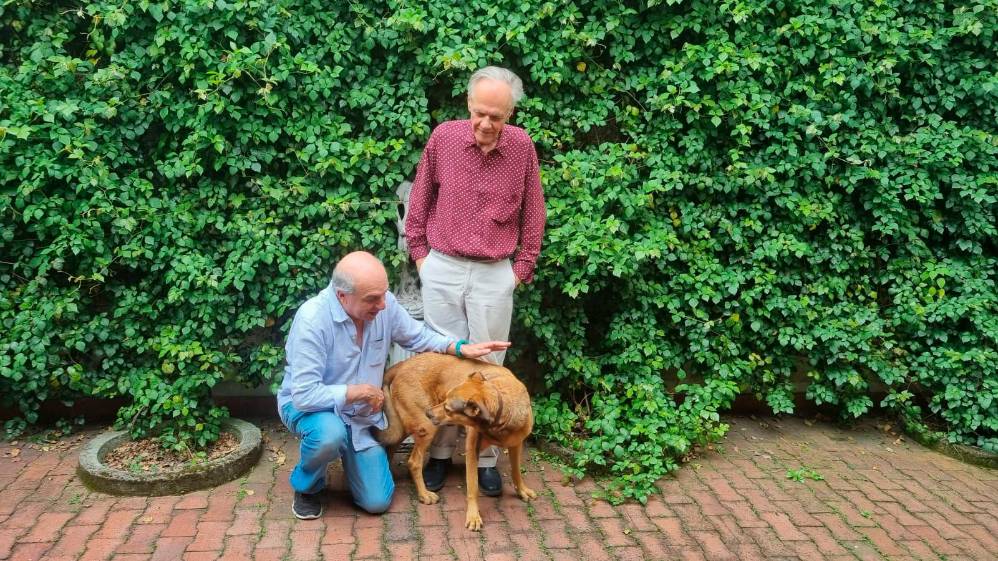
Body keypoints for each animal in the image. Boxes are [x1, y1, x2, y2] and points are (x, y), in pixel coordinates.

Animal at [372, 352, 536, 528]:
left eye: (447, 408)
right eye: (445, 400)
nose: (428, 413)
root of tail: (402, 364)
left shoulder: (516, 445)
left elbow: (516, 472)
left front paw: (522, 491)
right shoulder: (472, 450)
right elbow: (473, 486)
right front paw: (473, 517)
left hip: (405, 426)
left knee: (390, 445)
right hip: (426, 428)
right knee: (413, 462)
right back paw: (424, 494)